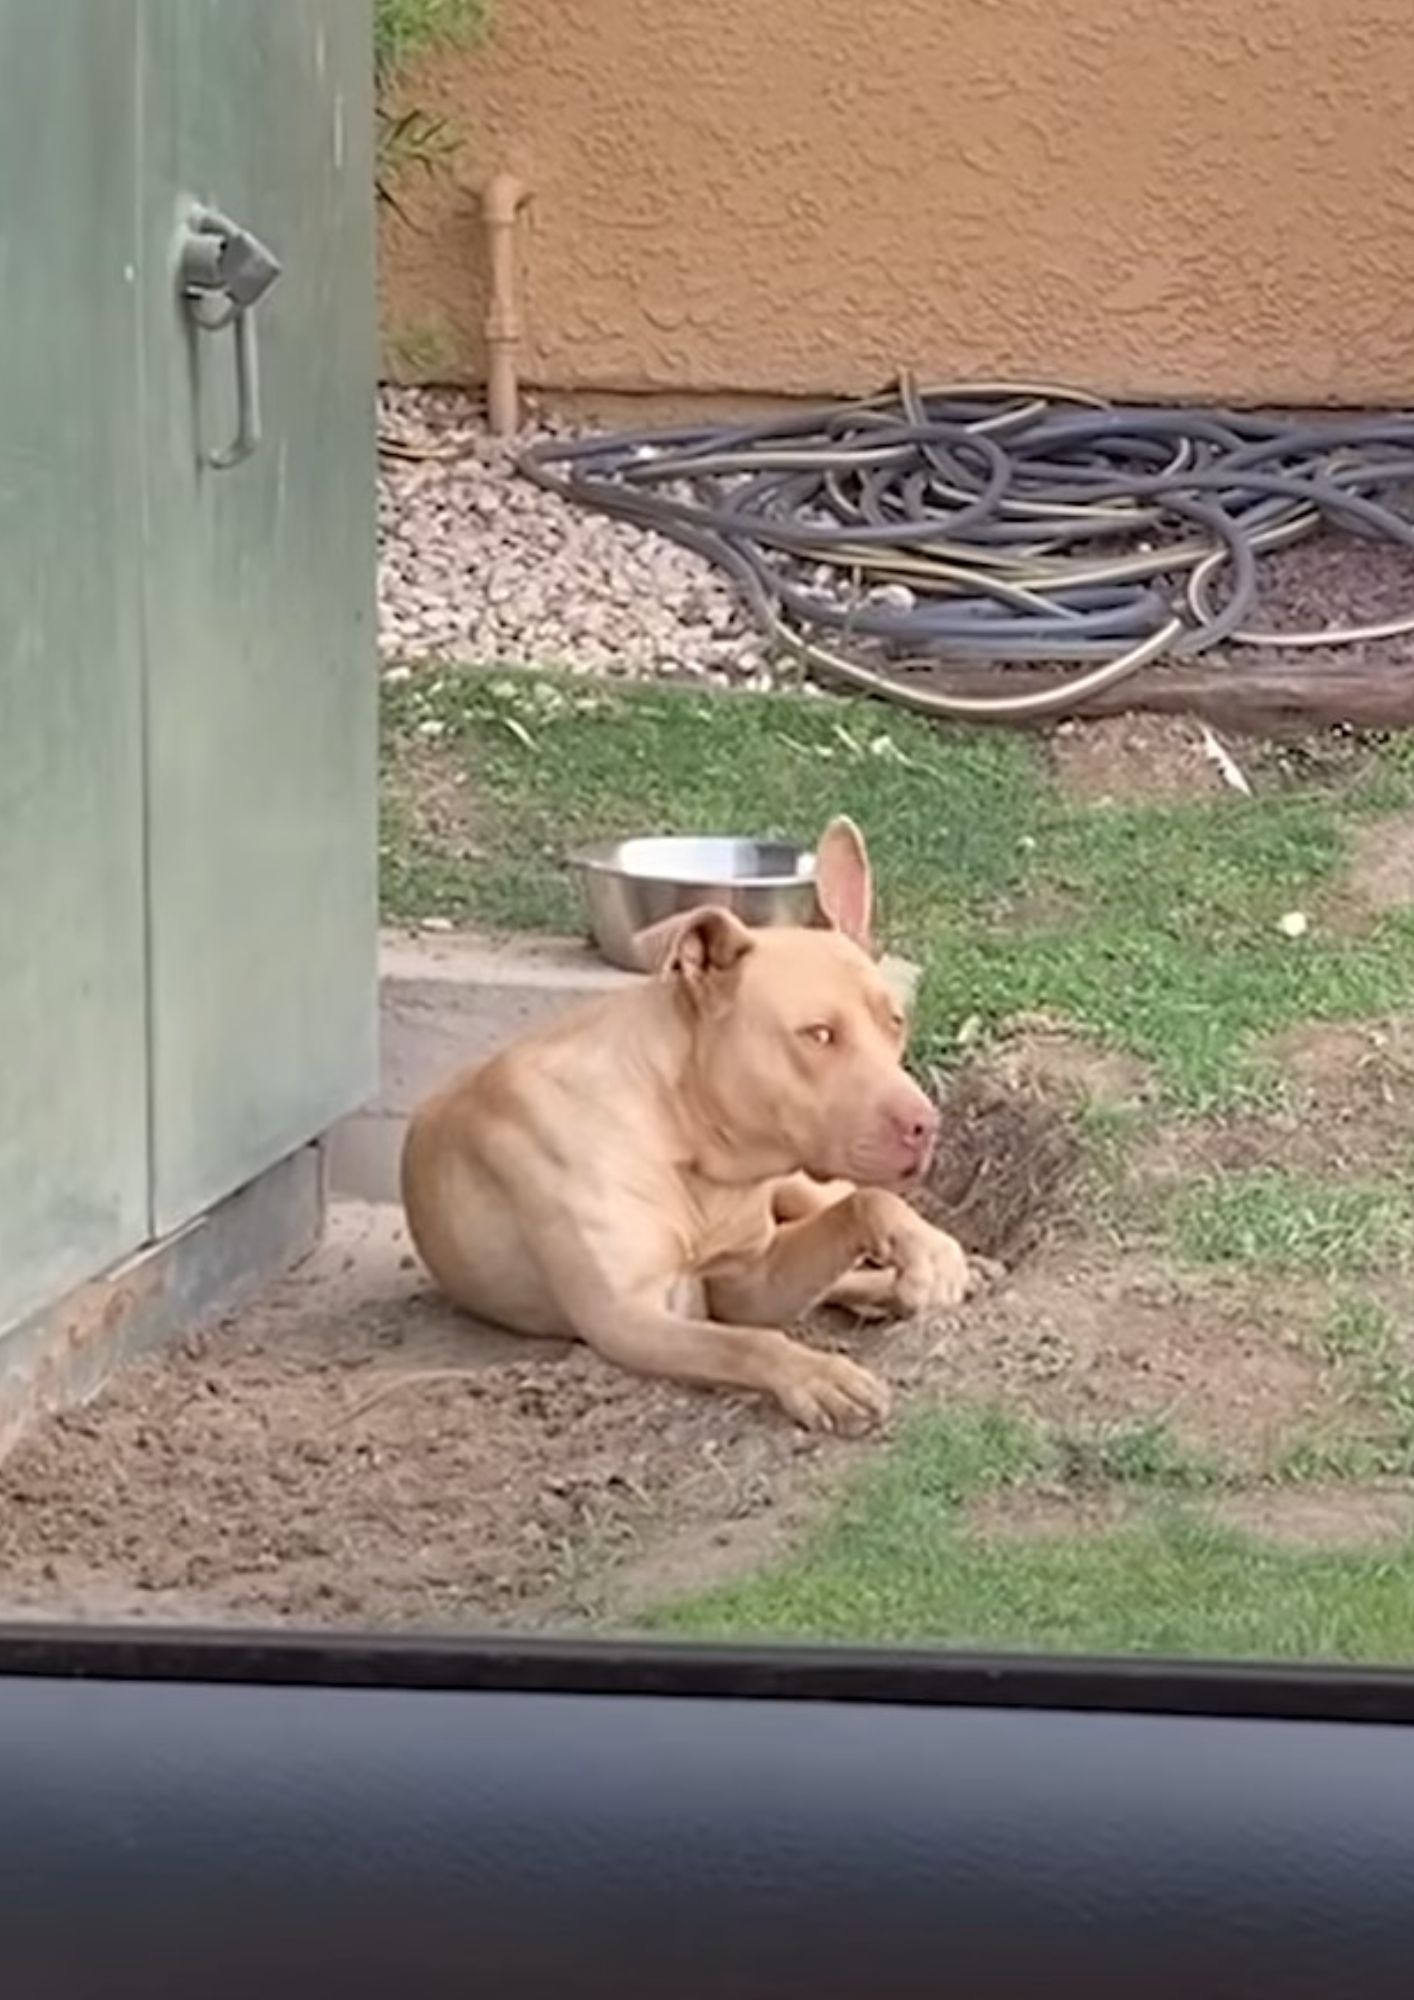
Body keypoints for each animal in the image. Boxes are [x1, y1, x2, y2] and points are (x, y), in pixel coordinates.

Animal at [398, 820, 972, 1432]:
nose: (926, 1123)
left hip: (799, 1186)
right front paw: (819, 1375)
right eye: (818, 1034)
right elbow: (746, 1342)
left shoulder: (748, 1276)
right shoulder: (630, 1316)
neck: (687, 1136)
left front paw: (925, 1250)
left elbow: (867, 1203)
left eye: (896, 1022)